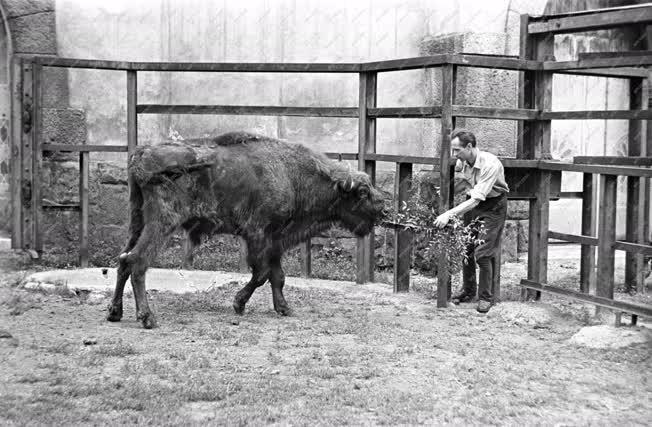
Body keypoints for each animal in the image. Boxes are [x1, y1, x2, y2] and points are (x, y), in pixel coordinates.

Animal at [104, 132, 384, 330]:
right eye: (362, 192)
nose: (382, 207)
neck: (291, 173)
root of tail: (141, 154)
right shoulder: (258, 235)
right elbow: (261, 274)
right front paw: (238, 303)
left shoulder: (275, 240)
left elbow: (277, 276)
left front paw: (284, 309)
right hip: (162, 223)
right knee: (137, 261)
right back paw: (147, 318)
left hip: (137, 220)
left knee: (122, 260)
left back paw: (115, 313)